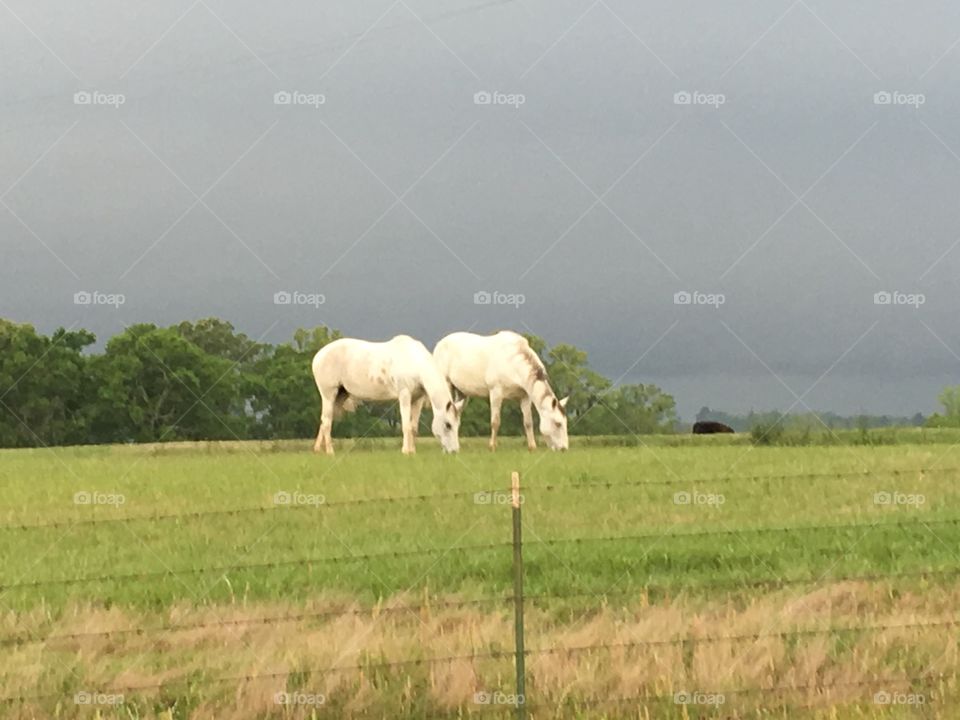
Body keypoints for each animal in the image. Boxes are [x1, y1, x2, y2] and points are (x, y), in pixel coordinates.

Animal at [311, 335, 463, 455]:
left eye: (458, 425)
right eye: (448, 425)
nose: (454, 451)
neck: (414, 361)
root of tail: (318, 357)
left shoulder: (417, 399)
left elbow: (413, 427)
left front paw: (413, 451)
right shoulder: (404, 395)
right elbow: (406, 426)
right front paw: (405, 451)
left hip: (340, 396)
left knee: (325, 421)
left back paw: (317, 450)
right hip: (328, 395)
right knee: (326, 421)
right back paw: (330, 452)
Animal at [432, 331, 569, 451]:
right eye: (558, 423)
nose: (564, 449)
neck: (513, 362)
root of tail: (439, 343)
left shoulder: (525, 397)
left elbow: (528, 422)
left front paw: (532, 447)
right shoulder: (496, 393)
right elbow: (495, 422)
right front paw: (492, 446)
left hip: (461, 393)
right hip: (446, 384)